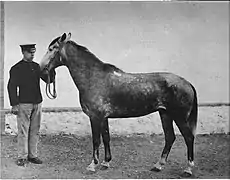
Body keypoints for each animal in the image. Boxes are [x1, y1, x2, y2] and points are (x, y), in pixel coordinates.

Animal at [39, 32, 198, 177]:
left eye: (52, 48)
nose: (41, 70)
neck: (93, 77)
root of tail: (187, 83)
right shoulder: (103, 117)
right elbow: (106, 137)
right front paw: (105, 162)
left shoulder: (95, 117)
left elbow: (96, 140)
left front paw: (92, 165)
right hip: (165, 114)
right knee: (170, 137)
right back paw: (158, 165)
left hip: (179, 117)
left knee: (188, 137)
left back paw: (188, 169)